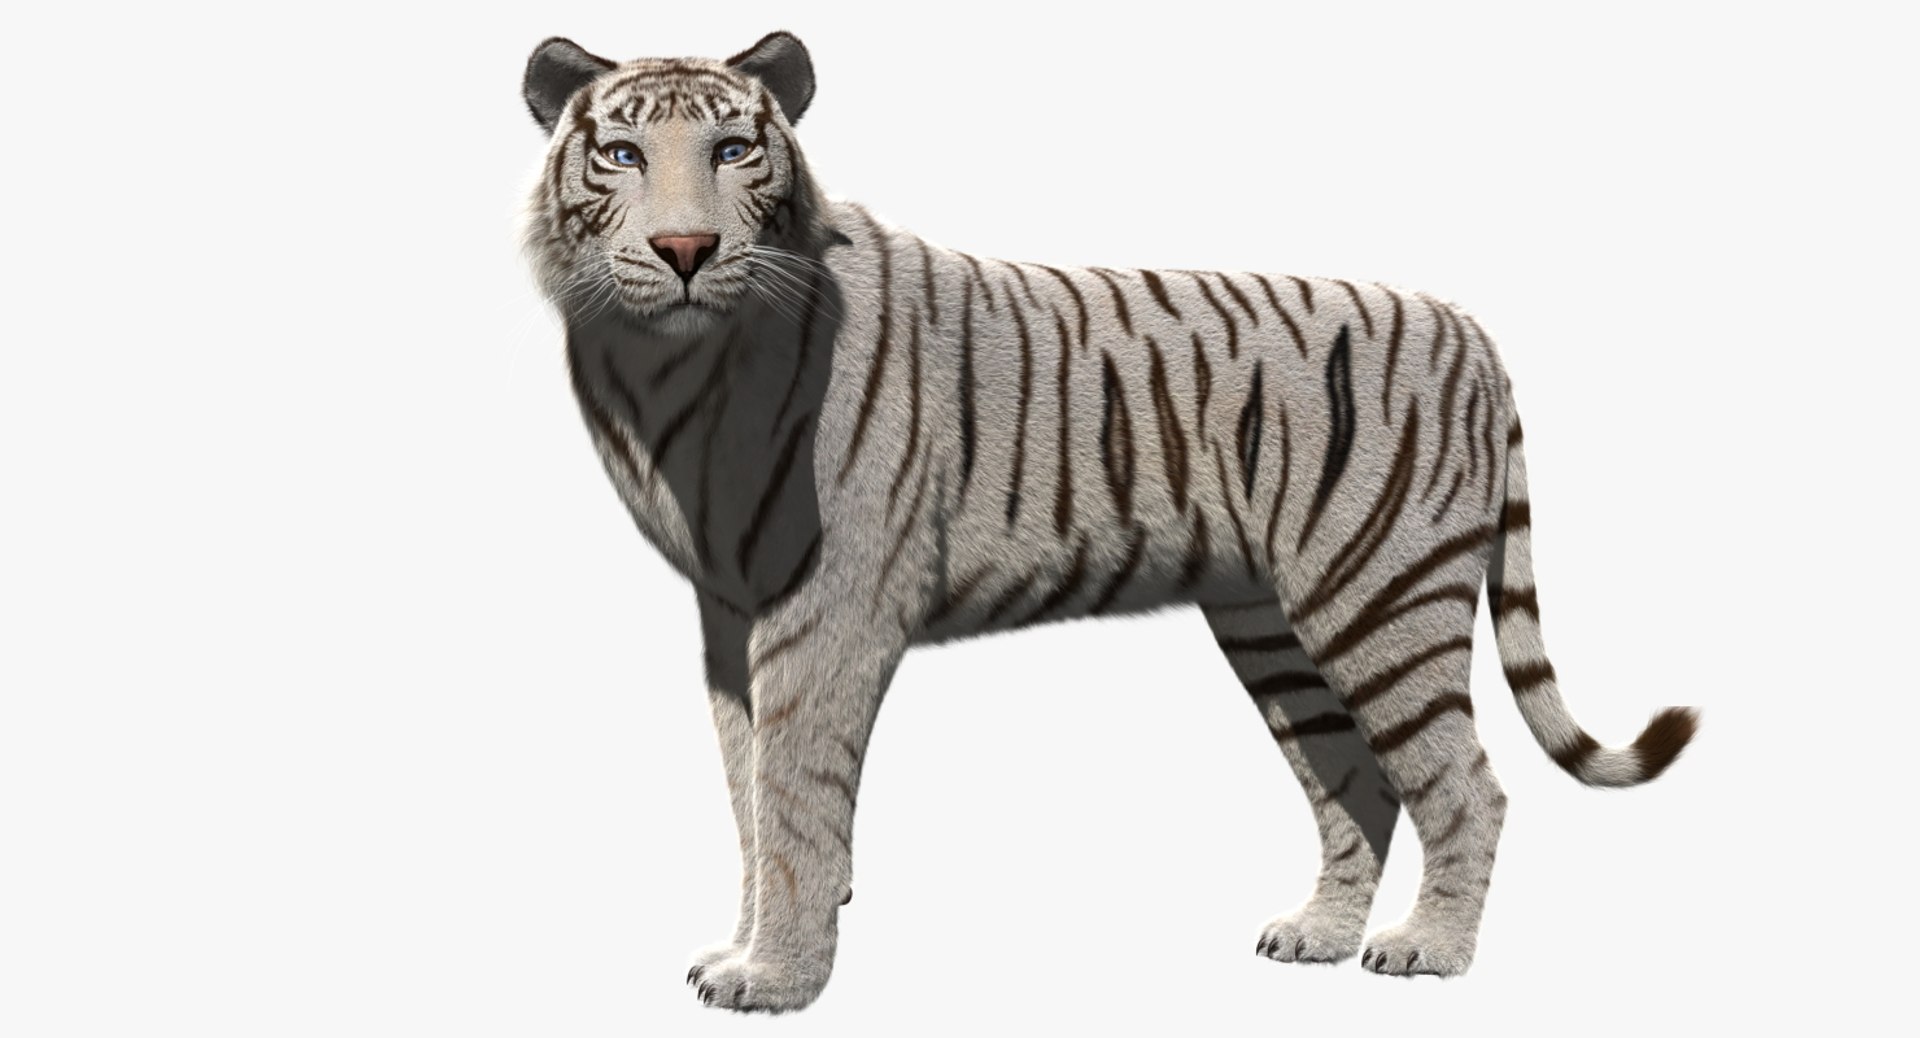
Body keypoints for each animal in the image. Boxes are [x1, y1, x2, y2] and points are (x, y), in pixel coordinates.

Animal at [517, 30, 1699, 1013]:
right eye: (620, 153)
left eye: (732, 150)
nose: (684, 248)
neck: (669, 368)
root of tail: (1471, 329)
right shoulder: (729, 619)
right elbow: (746, 797)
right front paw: (740, 949)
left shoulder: (825, 612)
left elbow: (793, 801)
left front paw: (774, 981)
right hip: (1275, 628)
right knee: (1356, 782)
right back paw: (1317, 935)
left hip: (1382, 597)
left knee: (1467, 785)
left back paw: (1428, 954)